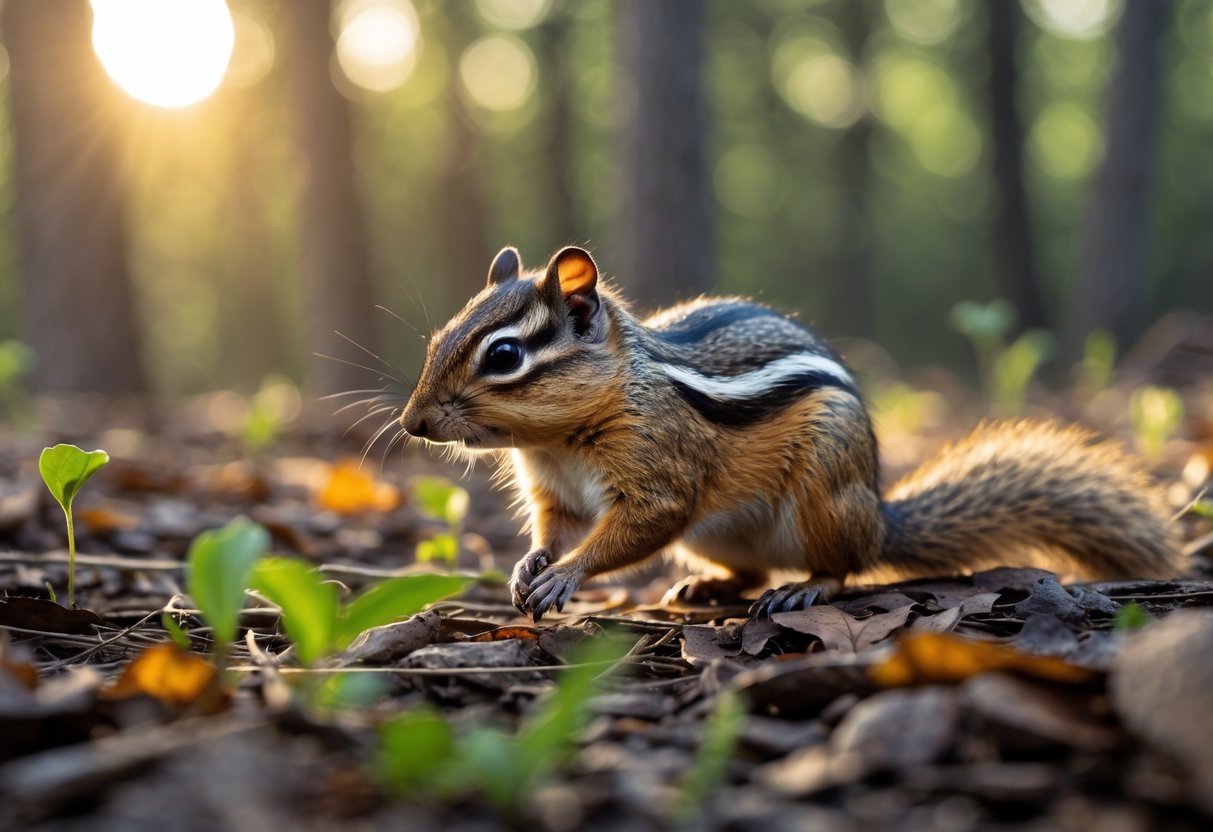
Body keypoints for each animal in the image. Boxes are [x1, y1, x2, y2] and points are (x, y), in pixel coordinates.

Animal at [400, 245, 1181, 620]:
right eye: (437, 338)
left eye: (504, 356)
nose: (413, 423)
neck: (557, 441)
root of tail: (879, 515)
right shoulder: (555, 493)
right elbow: (554, 526)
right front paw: (529, 565)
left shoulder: (660, 471)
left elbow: (639, 525)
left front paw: (565, 575)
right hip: (718, 535)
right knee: (749, 569)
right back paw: (704, 588)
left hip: (822, 495)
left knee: (841, 569)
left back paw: (803, 592)